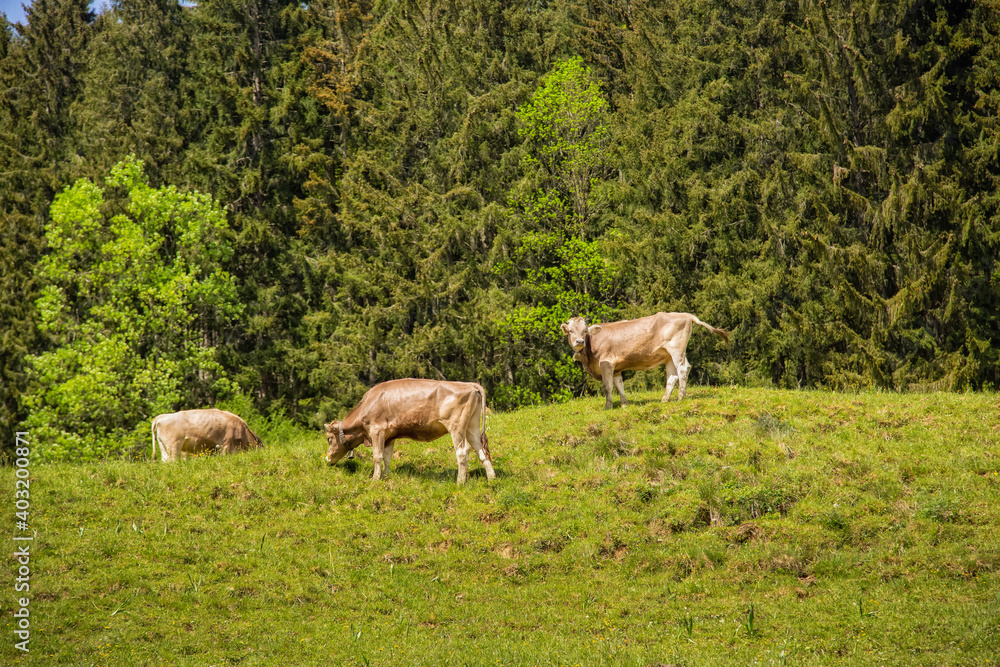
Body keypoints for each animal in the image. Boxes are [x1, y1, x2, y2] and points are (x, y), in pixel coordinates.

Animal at [325, 379, 495, 485]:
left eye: (328, 438)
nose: (327, 459)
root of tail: (470, 385)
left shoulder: (376, 430)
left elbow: (377, 457)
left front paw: (375, 479)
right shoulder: (390, 436)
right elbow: (387, 457)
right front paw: (386, 476)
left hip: (456, 425)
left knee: (462, 452)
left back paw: (460, 482)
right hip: (471, 426)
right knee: (480, 450)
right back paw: (491, 478)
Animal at [561, 312, 730, 409]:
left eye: (585, 331)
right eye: (571, 331)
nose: (580, 341)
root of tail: (686, 315)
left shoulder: (606, 363)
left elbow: (607, 386)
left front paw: (608, 406)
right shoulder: (616, 368)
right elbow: (619, 385)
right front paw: (624, 404)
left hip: (676, 348)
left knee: (682, 369)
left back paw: (681, 397)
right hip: (668, 354)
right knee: (673, 375)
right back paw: (665, 399)